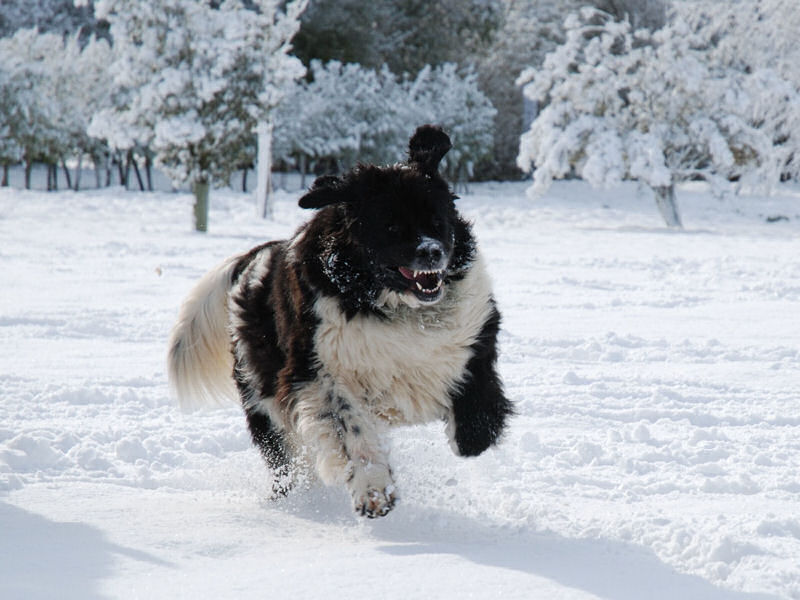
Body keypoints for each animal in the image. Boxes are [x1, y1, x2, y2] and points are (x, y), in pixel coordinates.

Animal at [167, 125, 513, 517]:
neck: (395, 307)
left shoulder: (474, 335)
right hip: (263, 395)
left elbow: (478, 392)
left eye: (437, 221)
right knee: (285, 458)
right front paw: (374, 490)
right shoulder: (317, 373)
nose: (432, 252)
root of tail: (255, 258)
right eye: (391, 227)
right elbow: (350, 428)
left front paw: (474, 434)